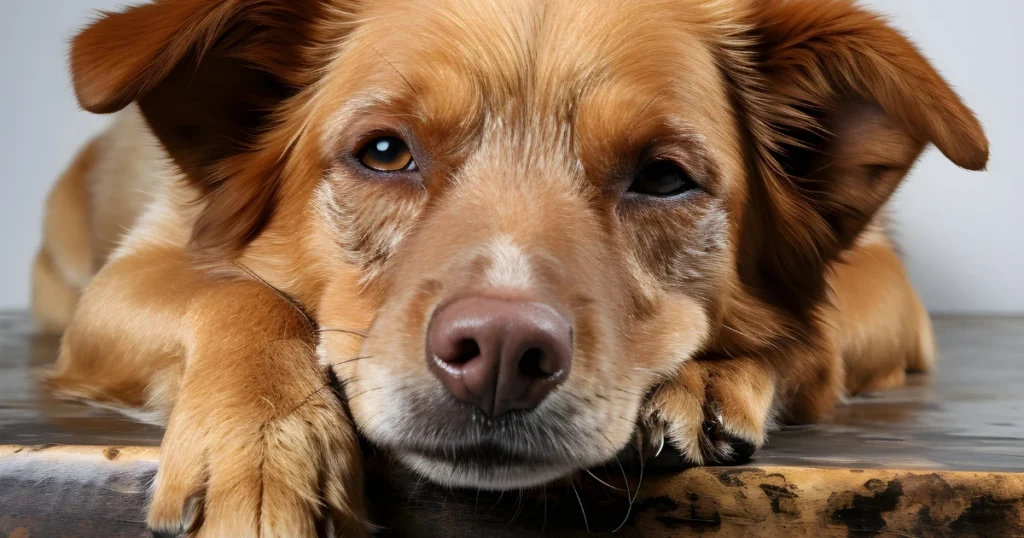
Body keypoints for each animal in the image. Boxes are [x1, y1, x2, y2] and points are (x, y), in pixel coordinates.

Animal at [32, 0, 987, 532]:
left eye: (664, 178)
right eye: (385, 152)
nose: (498, 353)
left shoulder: (884, 280)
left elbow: (809, 331)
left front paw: (710, 374)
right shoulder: (135, 270)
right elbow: (238, 295)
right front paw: (262, 454)